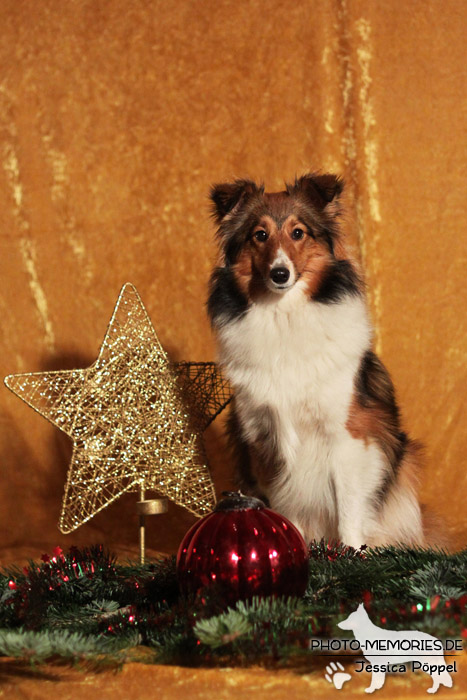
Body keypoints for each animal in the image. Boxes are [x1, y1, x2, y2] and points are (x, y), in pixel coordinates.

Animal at [207, 172, 428, 548]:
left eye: (298, 232)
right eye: (259, 235)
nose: (280, 274)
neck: (285, 314)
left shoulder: (347, 437)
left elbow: (349, 508)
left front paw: (352, 553)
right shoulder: (266, 438)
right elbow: (286, 503)